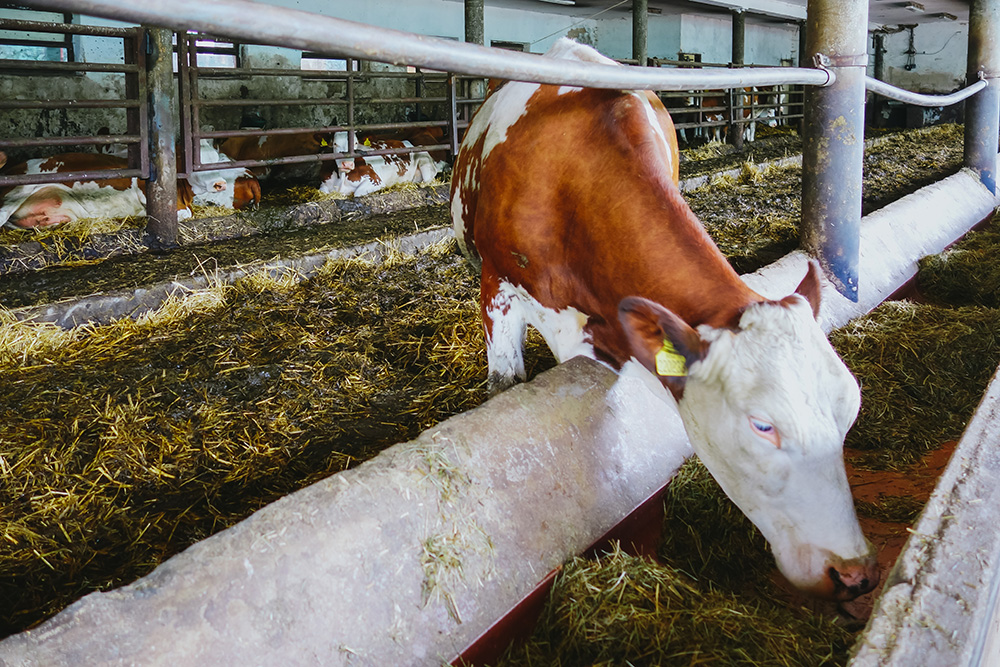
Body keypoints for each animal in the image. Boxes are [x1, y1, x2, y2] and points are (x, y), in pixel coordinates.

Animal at [450, 39, 880, 604]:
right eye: (763, 425)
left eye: (850, 408)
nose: (854, 574)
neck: (575, 184)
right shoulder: (498, 285)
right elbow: (504, 379)